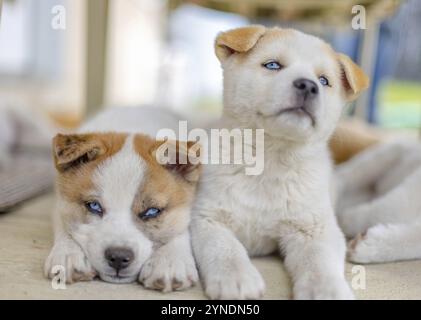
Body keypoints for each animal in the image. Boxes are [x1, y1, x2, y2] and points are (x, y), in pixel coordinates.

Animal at [44, 106, 200, 292]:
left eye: (152, 211)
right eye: (94, 206)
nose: (118, 257)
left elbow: (182, 227)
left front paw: (169, 261)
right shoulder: (58, 200)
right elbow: (64, 224)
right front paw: (67, 253)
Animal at [189, 25, 368, 300]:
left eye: (324, 81)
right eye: (272, 65)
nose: (308, 85)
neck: (270, 159)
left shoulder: (314, 228)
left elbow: (320, 261)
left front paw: (326, 289)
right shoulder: (207, 218)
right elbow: (225, 248)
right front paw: (236, 279)